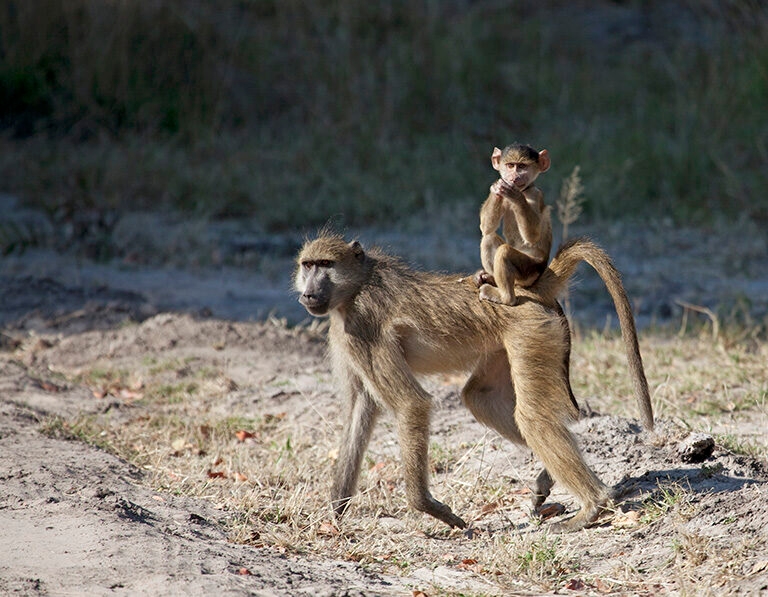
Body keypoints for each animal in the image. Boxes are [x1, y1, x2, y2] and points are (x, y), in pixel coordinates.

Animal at [294, 233, 652, 532]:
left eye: (325, 265)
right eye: (307, 265)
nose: (309, 294)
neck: (358, 285)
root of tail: (528, 290)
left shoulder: (362, 326)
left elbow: (411, 403)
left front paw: (431, 508)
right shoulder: (349, 336)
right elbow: (361, 408)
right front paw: (335, 513)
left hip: (531, 331)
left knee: (531, 419)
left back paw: (592, 507)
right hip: (511, 342)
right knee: (480, 397)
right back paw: (550, 478)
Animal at [477, 143, 552, 306]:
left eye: (522, 166)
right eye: (511, 165)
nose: (514, 177)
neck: (525, 190)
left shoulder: (535, 194)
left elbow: (533, 235)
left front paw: (515, 195)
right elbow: (485, 227)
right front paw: (497, 187)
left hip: (530, 271)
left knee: (504, 252)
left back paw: (506, 298)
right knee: (488, 238)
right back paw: (490, 278)